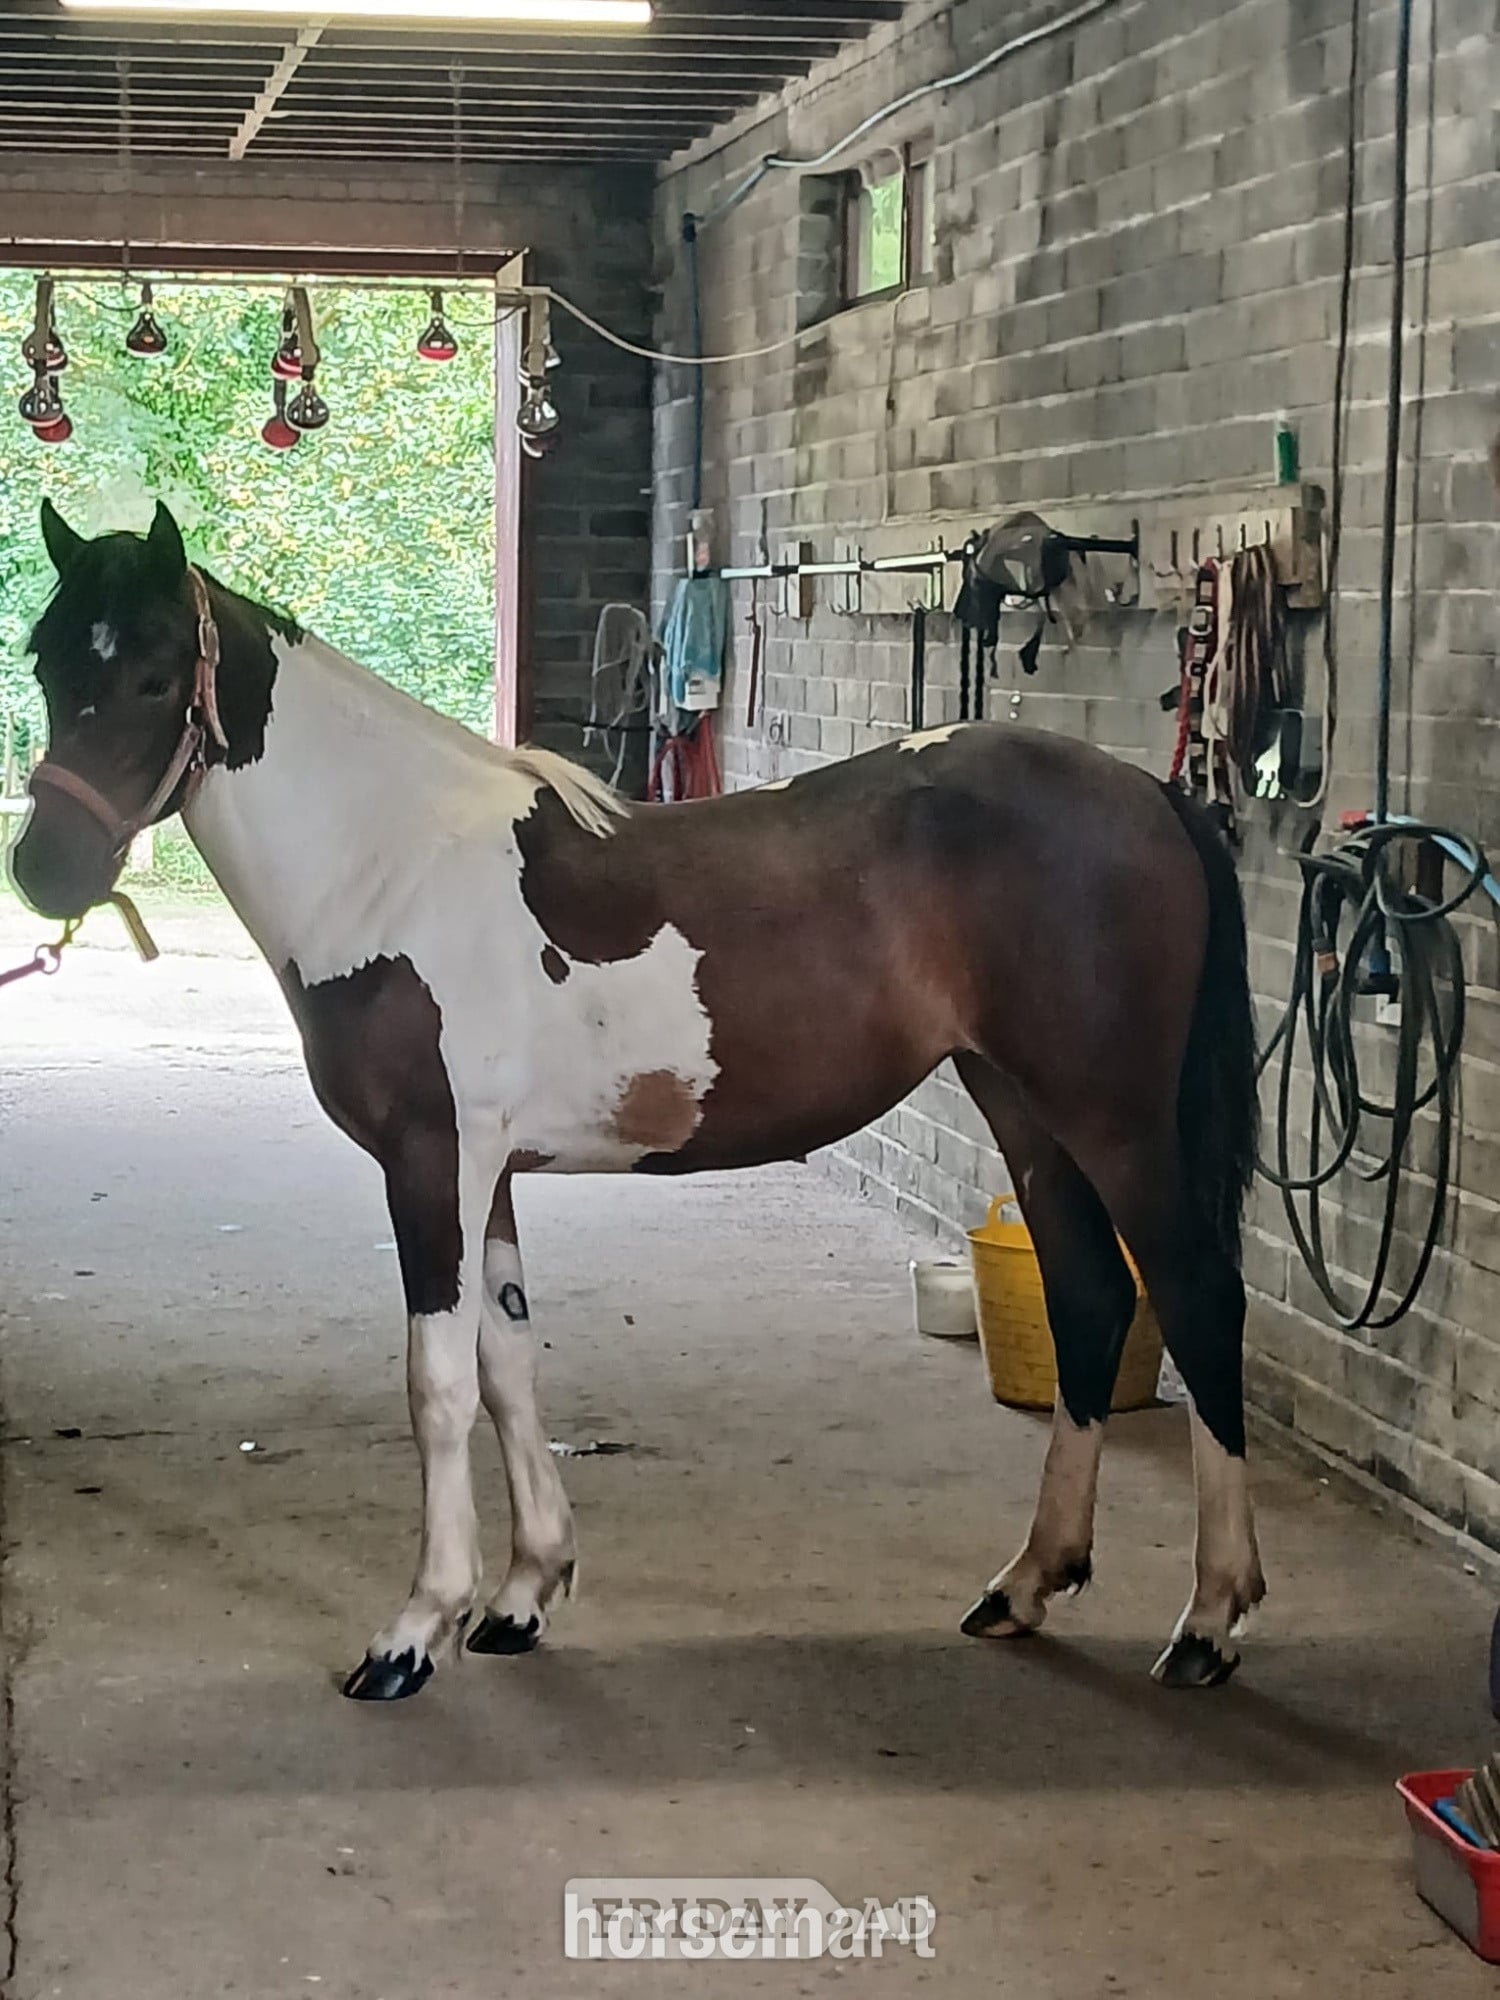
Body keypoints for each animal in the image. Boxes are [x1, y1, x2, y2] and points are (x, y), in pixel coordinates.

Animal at [11, 499, 1265, 1702]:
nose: (44, 870)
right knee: (1092, 1299)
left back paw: (1210, 1620)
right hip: (1023, 1106)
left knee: (1198, 1298)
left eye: (156, 675)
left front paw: (417, 1630)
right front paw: (524, 1594)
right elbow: (509, 1366)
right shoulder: (486, 1176)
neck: (390, 870)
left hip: (1115, 1119)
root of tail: (1150, 795)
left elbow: (437, 1383)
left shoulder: (431, 1160)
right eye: (46, 660)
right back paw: (1028, 1581)